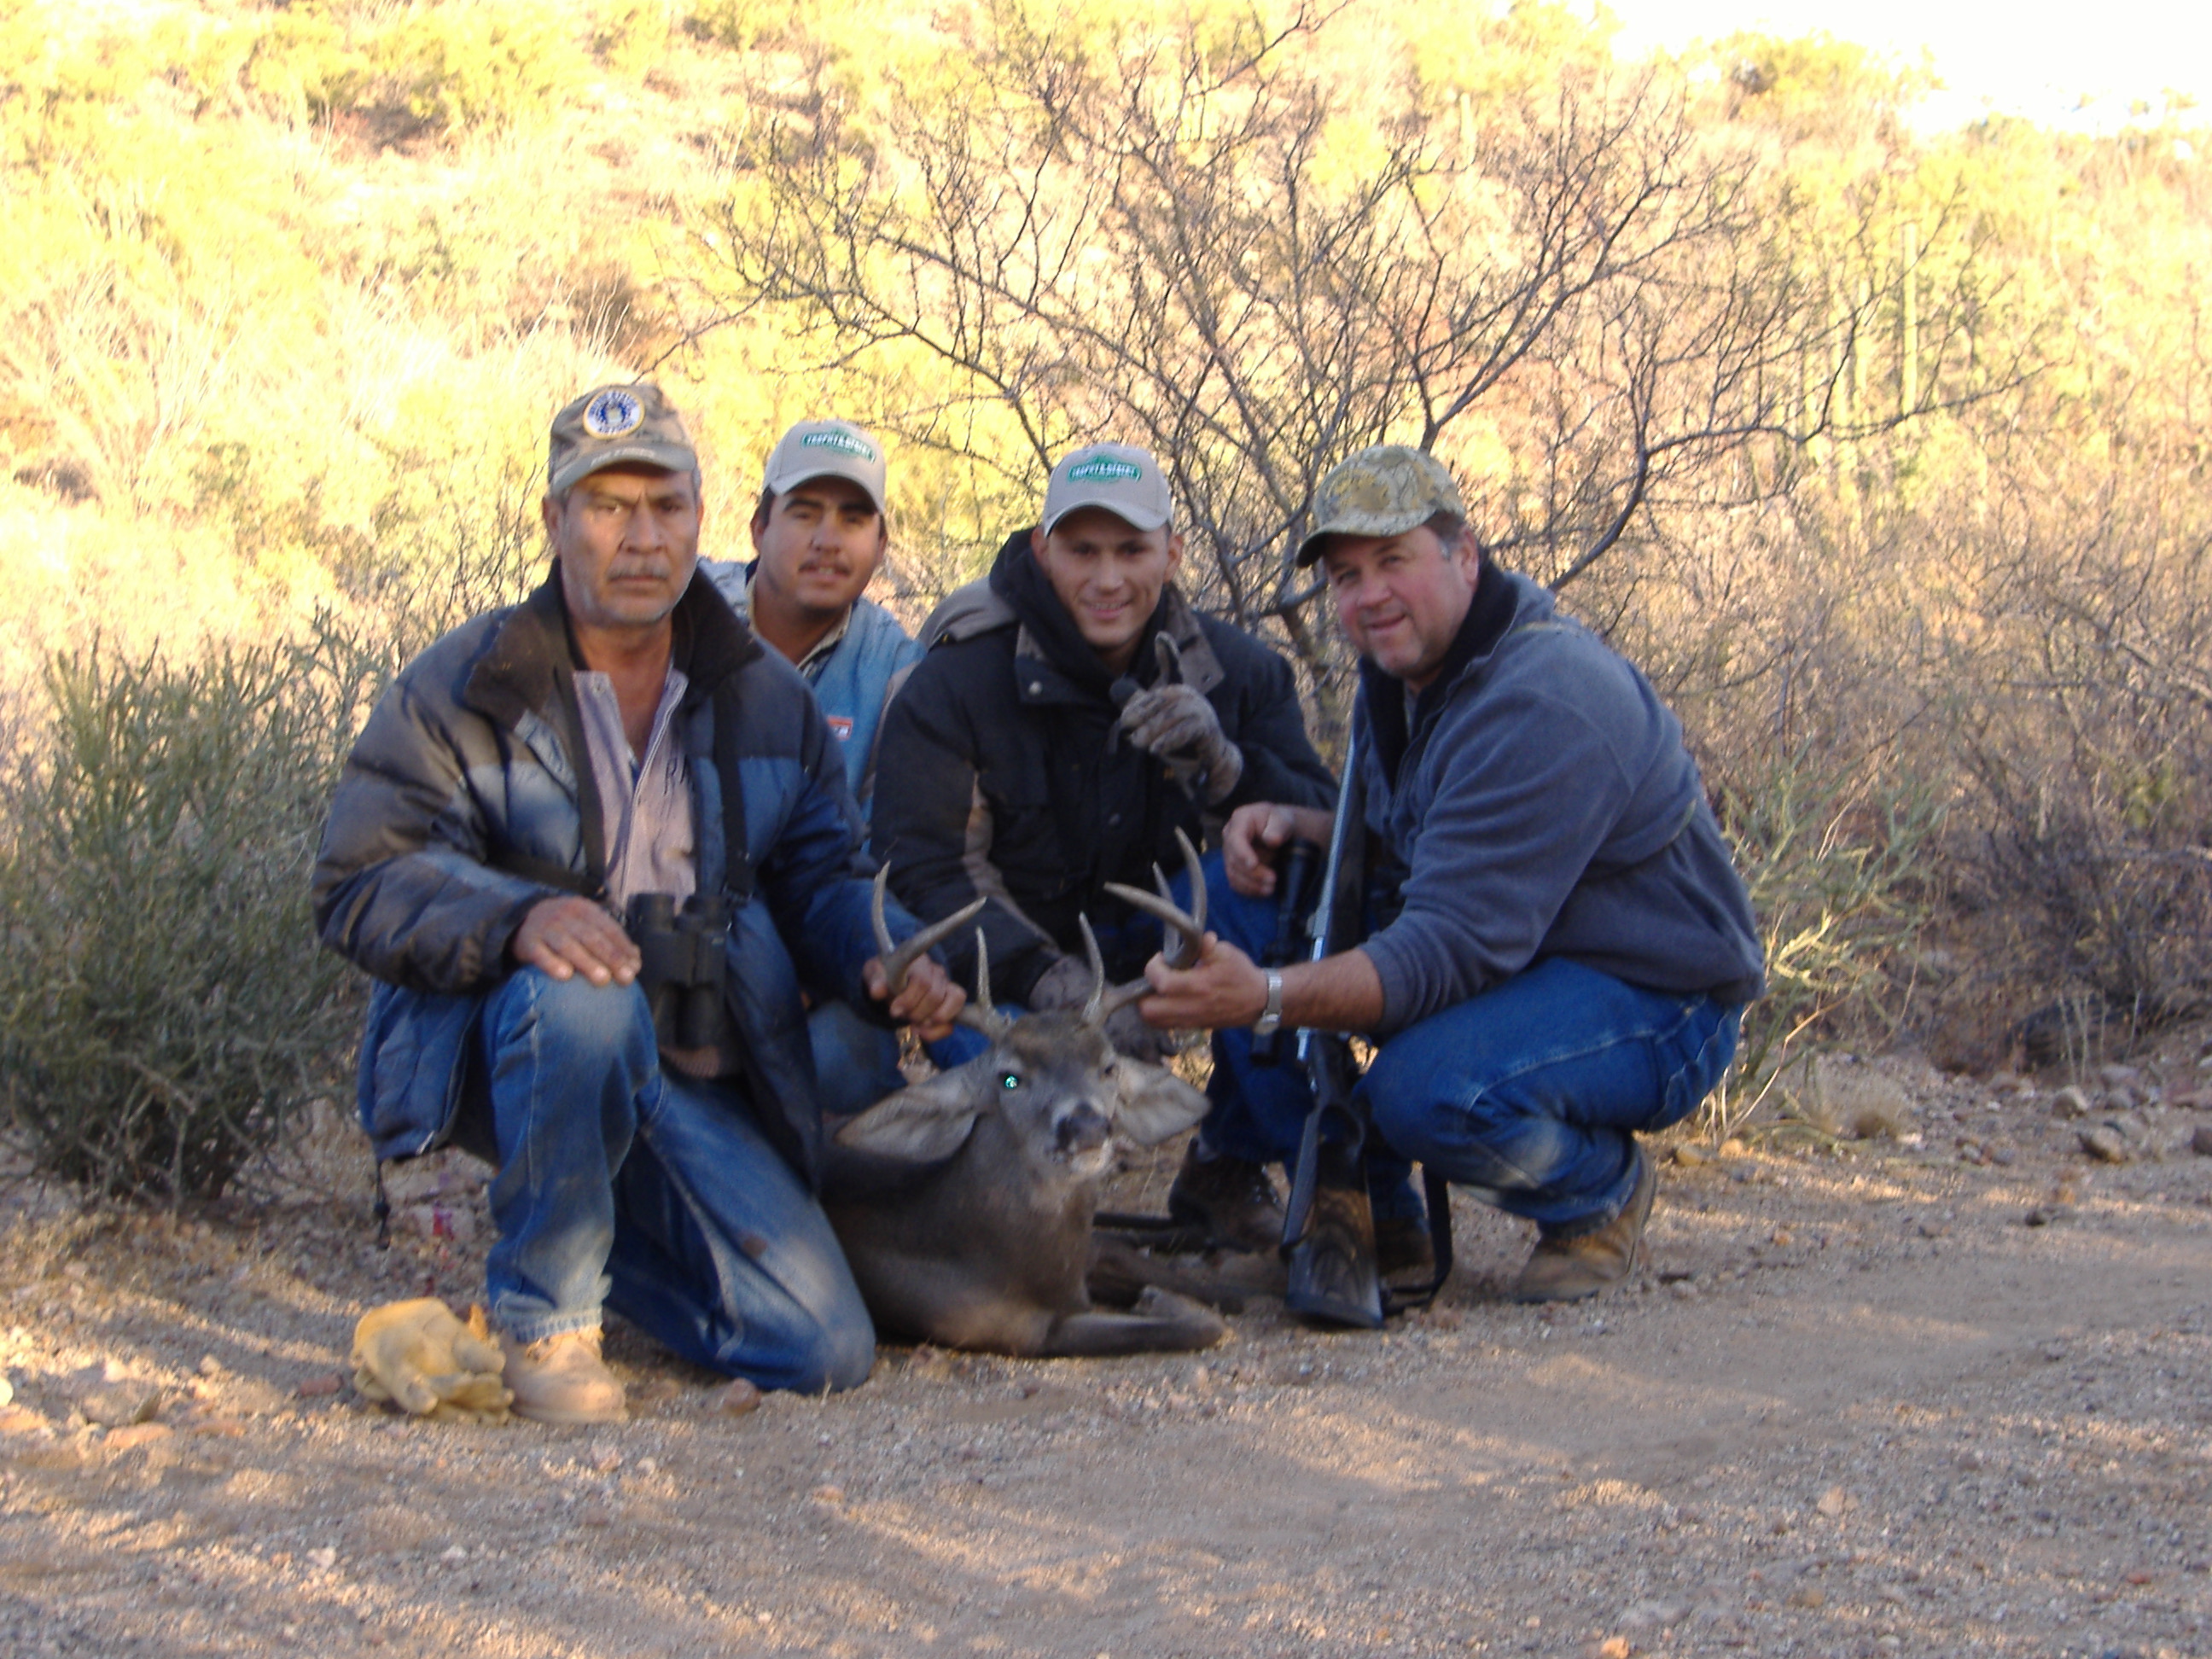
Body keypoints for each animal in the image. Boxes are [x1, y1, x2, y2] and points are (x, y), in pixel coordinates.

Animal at [827, 835, 1230, 1353]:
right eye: (1010, 1079)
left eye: (1108, 1067)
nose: (1087, 1126)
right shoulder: (1019, 1331)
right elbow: (1201, 1324)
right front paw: (1162, 1300)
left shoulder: (1086, 1262)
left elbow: (1201, 1295)